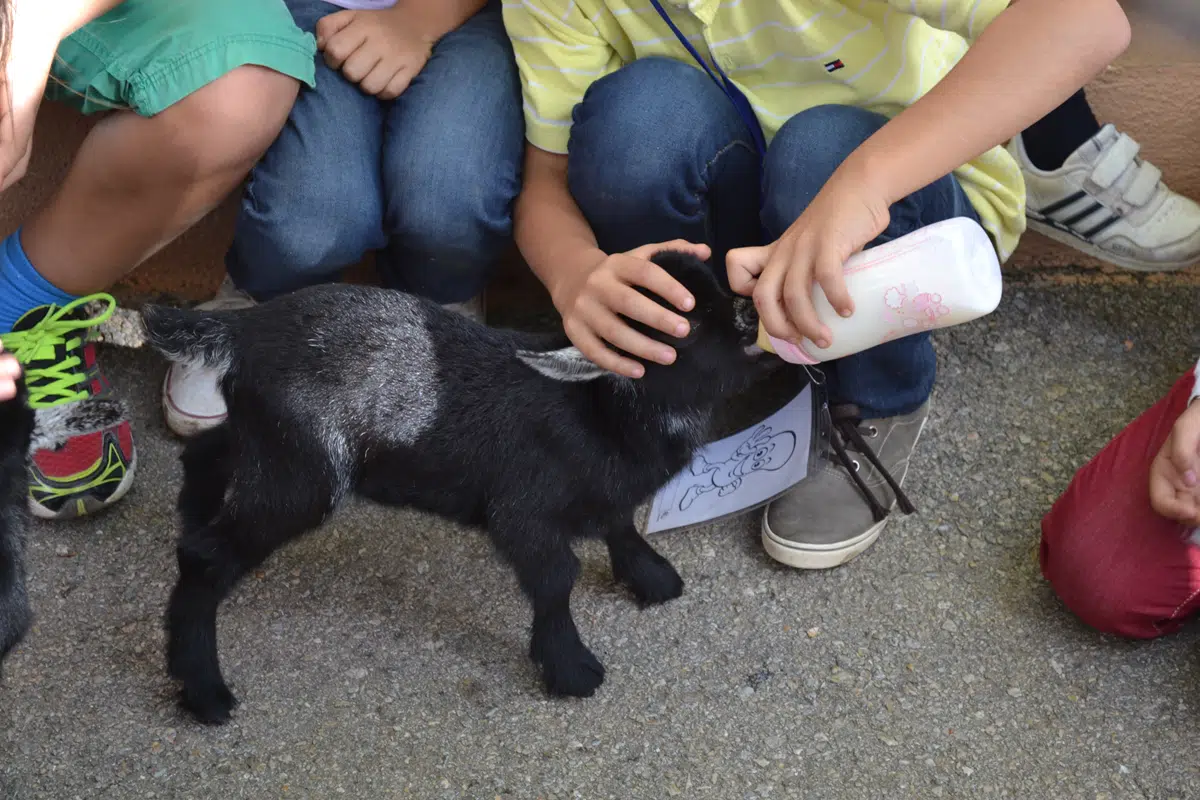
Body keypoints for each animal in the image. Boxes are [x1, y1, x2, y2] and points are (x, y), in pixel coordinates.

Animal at [142, 251, 769, 725]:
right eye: (686, 325)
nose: (749, 311)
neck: (600, 406)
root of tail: (242, 329)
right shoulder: (523, 513)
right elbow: (556, 579)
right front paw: (570, 667)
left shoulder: (604, 493)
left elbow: (618, 522)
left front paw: (651, 577)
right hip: (301, 473)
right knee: (205, 558)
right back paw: (204, 691)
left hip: (267, 441)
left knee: (205, 452)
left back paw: (193, 510)